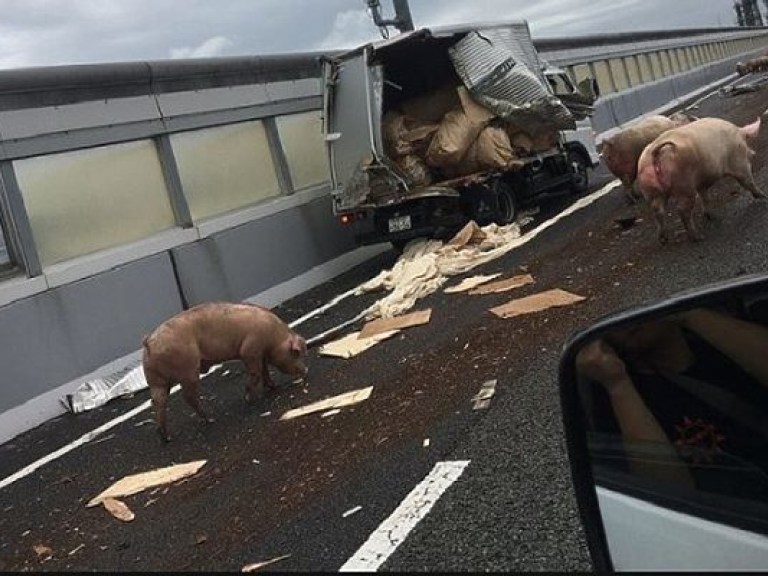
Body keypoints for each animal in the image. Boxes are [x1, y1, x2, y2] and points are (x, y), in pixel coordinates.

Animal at [142, 302, 308, 440]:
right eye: (296, 353)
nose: (306, 370)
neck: (273, 337)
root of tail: (149, 342)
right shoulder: (249, 350)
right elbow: (256, 372)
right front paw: (247, 398)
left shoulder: (260, 354)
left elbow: (264, 371)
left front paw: (273, 387)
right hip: (187, 370)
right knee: (188, 396)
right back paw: (209, 419)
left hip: (156, 381)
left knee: (157, 402)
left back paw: (166, 437)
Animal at [632, 116, 764, 244]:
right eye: (746, 141)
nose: (754, 154)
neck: (739, 135)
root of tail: (655, 152)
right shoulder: (738, 162)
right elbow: (747, 181)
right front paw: (763, 196)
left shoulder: (701, 183)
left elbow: (705, 197)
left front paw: (711, 216)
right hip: (684, 186)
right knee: (682, 211)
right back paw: (698, 237)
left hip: (651, 190)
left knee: (657, 210)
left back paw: (663, 239)